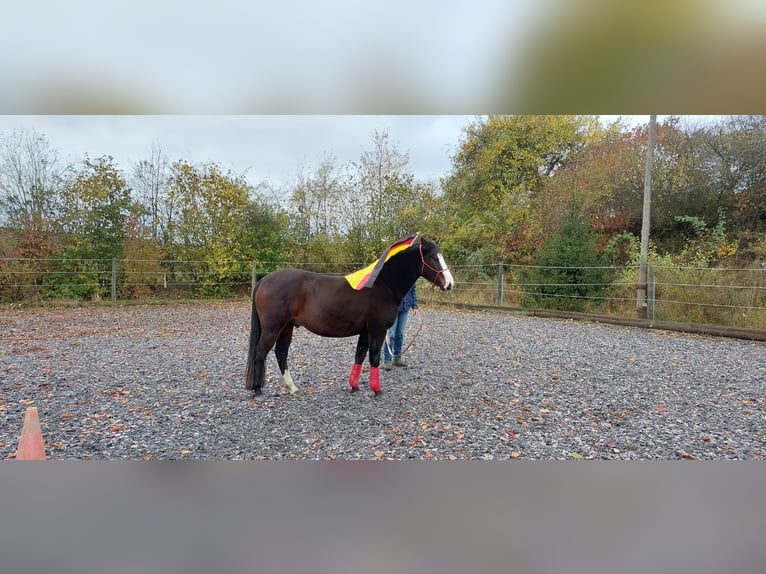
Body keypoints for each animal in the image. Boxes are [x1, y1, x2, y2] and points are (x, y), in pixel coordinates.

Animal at [244, 234, 455, 397]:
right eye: (433, 258)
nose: (450, 284)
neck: (382, 285)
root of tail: (264, 280)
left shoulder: (366, 331)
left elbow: (359, 355)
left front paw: (354, 386)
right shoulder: (377, 330)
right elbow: (374, 357)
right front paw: (377, 390)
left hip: (287, 327)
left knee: (281, 353)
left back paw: (292, 388)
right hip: (273, 328)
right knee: (260, 352)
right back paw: (258, 390)